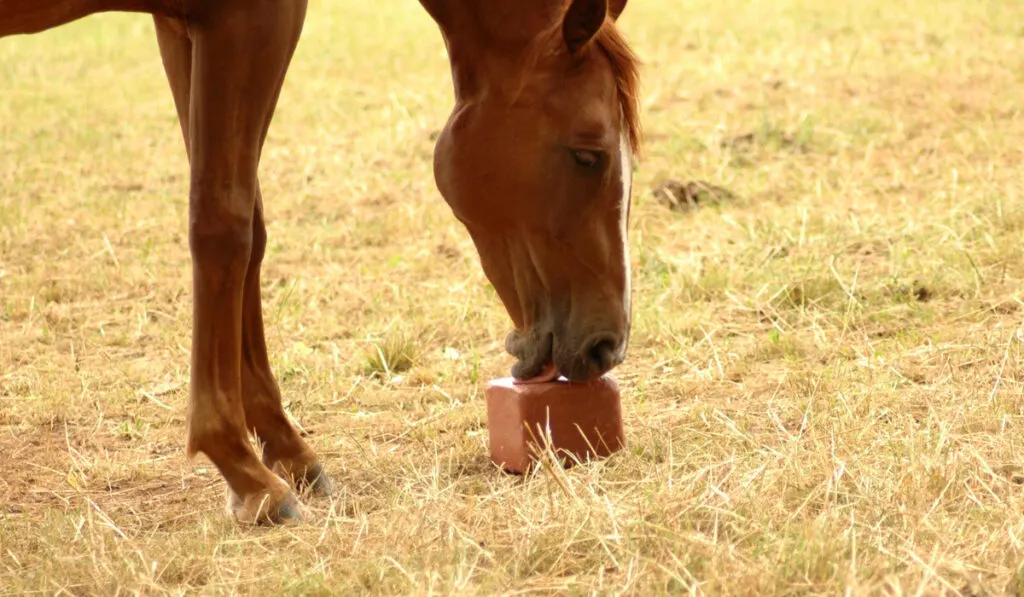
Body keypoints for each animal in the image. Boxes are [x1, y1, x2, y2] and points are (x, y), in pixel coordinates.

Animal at [0, 0, 638, 524]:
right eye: (589, 155)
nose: (608, 345)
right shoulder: (248, 21)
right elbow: (223, 227)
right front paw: (246, 472)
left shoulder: (182, 25)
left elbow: (250, 230)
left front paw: (287, 451)